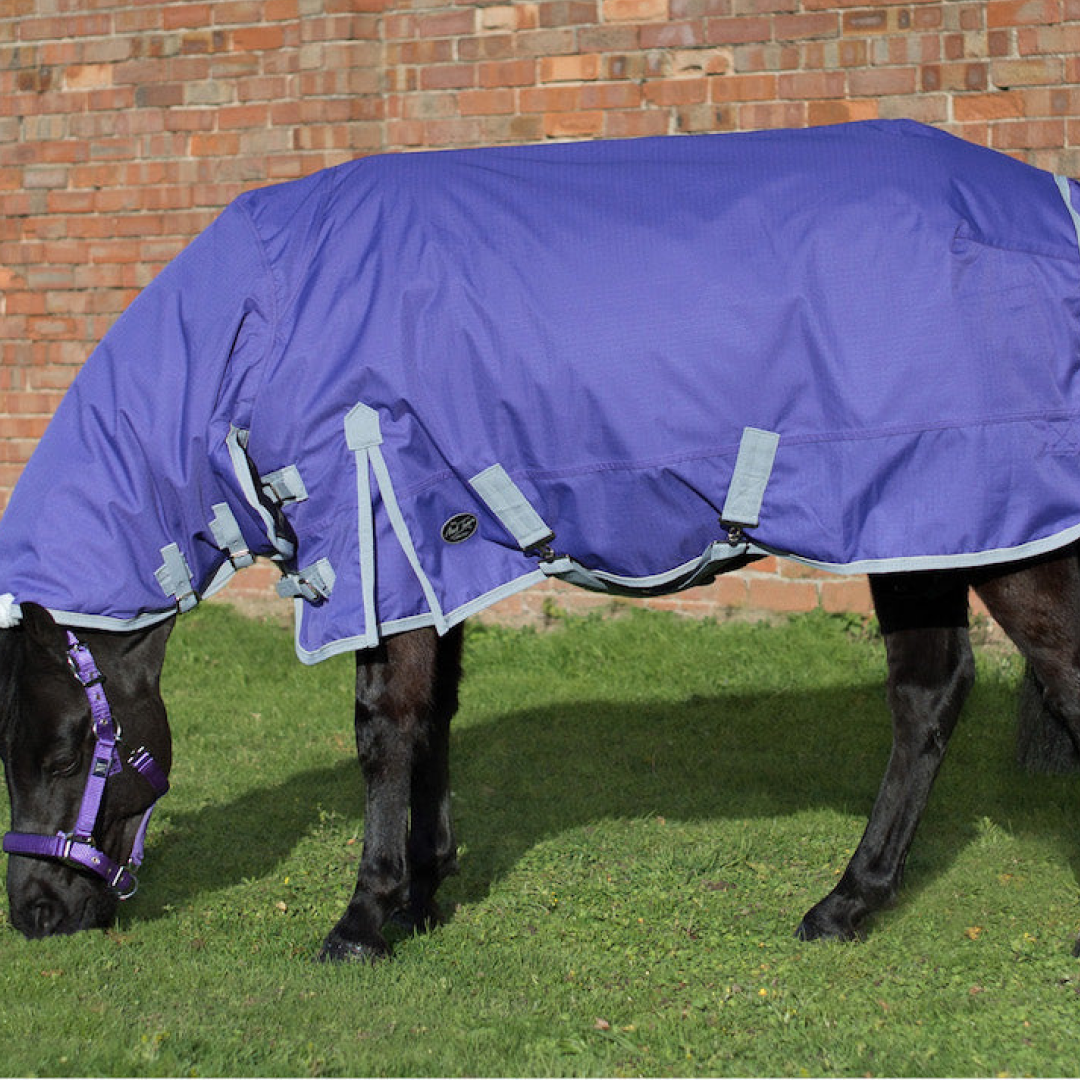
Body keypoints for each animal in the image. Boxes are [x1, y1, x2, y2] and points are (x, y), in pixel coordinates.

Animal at [5, 120, 1080, 959]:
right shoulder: (434, 556)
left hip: (989, 531)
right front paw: (423, 894)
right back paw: (849, 904)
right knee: (930, 697)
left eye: (65, 753)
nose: (34, 914)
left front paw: (363, 920)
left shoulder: (381, 536)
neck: (265, 324)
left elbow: (382, 730)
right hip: (922, 531)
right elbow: (430, 721)